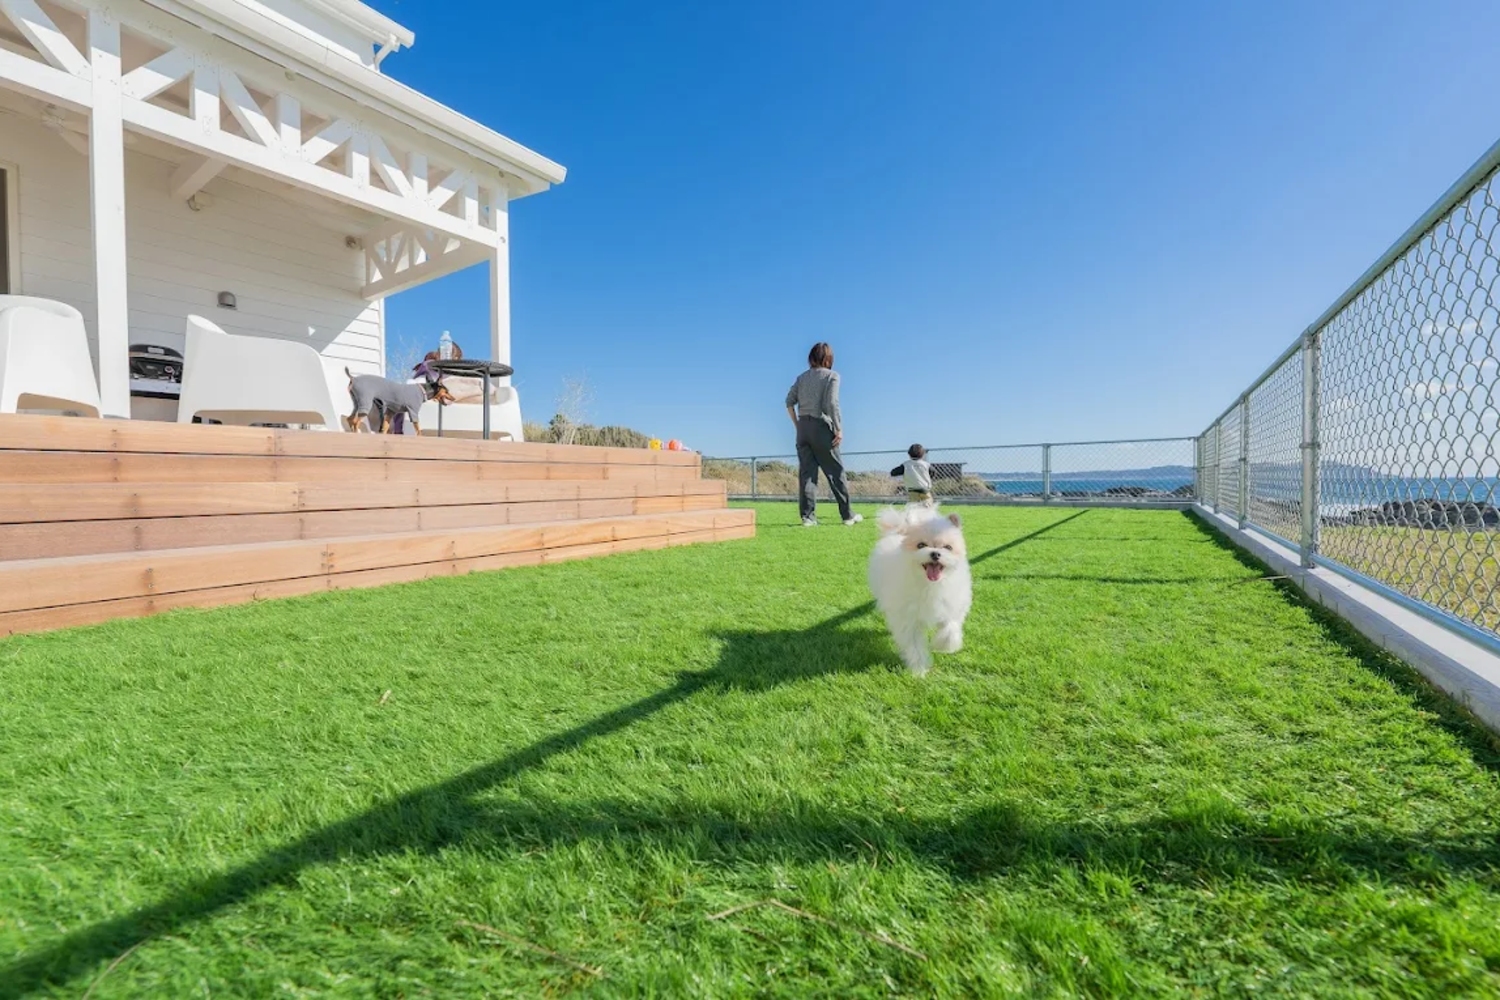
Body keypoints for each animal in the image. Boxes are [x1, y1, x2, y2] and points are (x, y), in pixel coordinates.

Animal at [867, 505, 972, 676]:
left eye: (948, 547)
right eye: (921, 545)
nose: (935, 553)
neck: (930, 585)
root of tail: (899, 530)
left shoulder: (951, 606)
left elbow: (950, 628)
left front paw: (942, 645)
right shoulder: (909, 619)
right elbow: (914, 646)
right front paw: (919, 670)